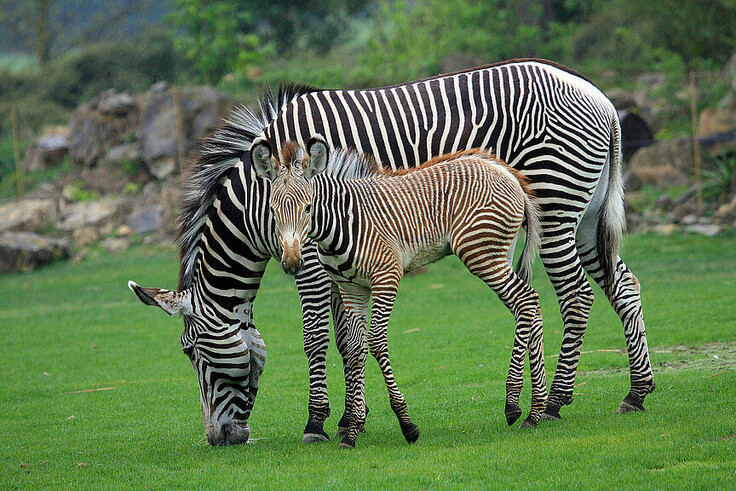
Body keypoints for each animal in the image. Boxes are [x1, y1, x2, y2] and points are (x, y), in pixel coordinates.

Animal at [251, 135, 546, 447]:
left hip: (481, 253)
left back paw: (514, 404)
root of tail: (505, 171)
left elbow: (376, 342)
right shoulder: (352, 288)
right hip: (500, 252)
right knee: (530, 304)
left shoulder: (386, 277)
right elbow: (355, 349)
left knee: (525, 301)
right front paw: (352, 429)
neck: (342, 222)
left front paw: (406, 423)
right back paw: (535, 410)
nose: (292, 262)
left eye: (308, 208)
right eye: (272, 211)